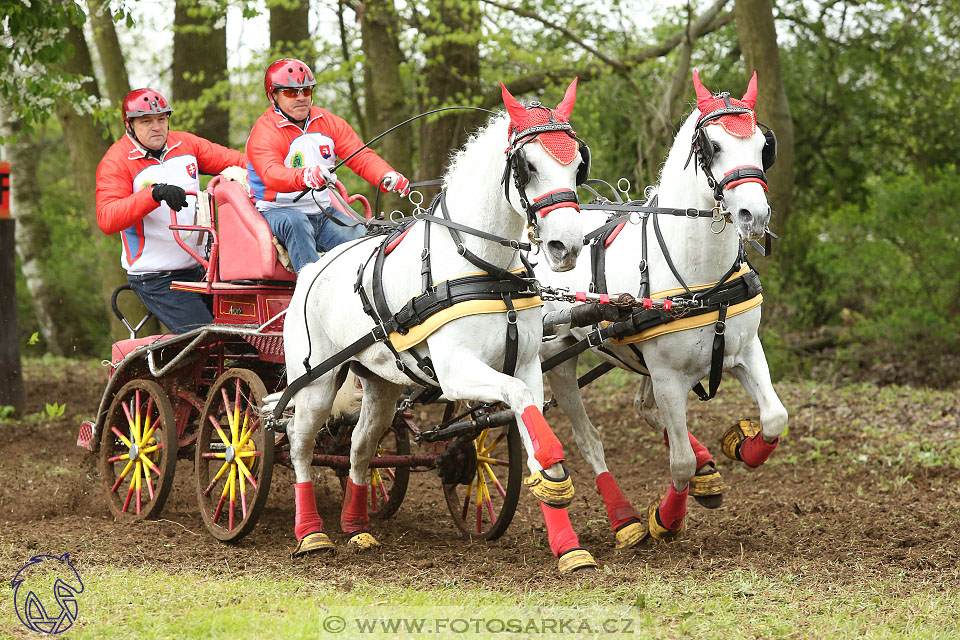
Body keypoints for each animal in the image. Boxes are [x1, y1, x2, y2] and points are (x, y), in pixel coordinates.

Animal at [278, 80, 600, 576]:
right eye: (527, 165)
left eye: (577, 165)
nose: (567, 245)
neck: (486, 268)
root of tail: (313, 267)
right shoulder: (454, 372)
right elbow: (525, 411)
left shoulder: (526, 365)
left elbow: (531, 427)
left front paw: (568, 546)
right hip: (314, 383)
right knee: (300, 445)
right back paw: (311, 533)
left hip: (381, 386)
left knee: (360, 447)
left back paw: (357, 527)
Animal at [540, 72, 788, 548]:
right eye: (713, 145)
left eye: (762, 145)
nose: (754, 214)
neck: (701, 276)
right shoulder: (669, 376)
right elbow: (679, 465)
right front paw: (666, 519)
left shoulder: (746, 351)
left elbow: (774, 418)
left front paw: (740, 445)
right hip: (556, 358)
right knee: (588, 439)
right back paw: (625, 519)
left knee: (644, 409)